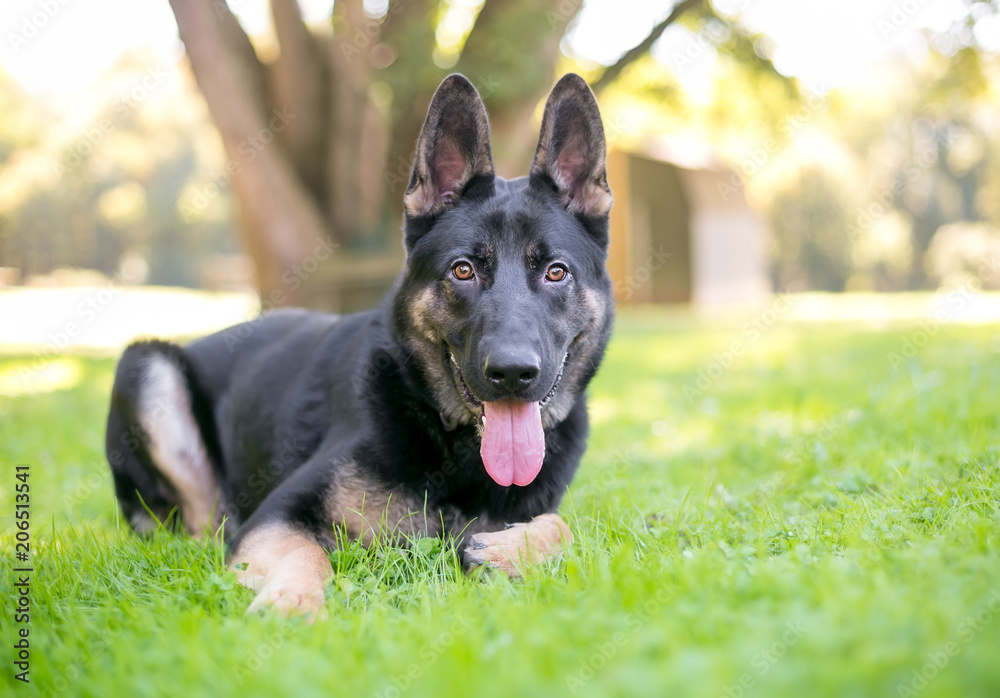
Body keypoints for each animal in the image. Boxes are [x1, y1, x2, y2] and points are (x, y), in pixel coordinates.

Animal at [105, 72, 612, 616]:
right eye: (463, 270)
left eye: (556, 272)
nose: (514, 374)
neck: (453, 442)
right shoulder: (274, 517)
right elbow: (307, 554)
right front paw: (292, 604)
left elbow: (569, 524)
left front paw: (506, 549)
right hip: (146, 366)